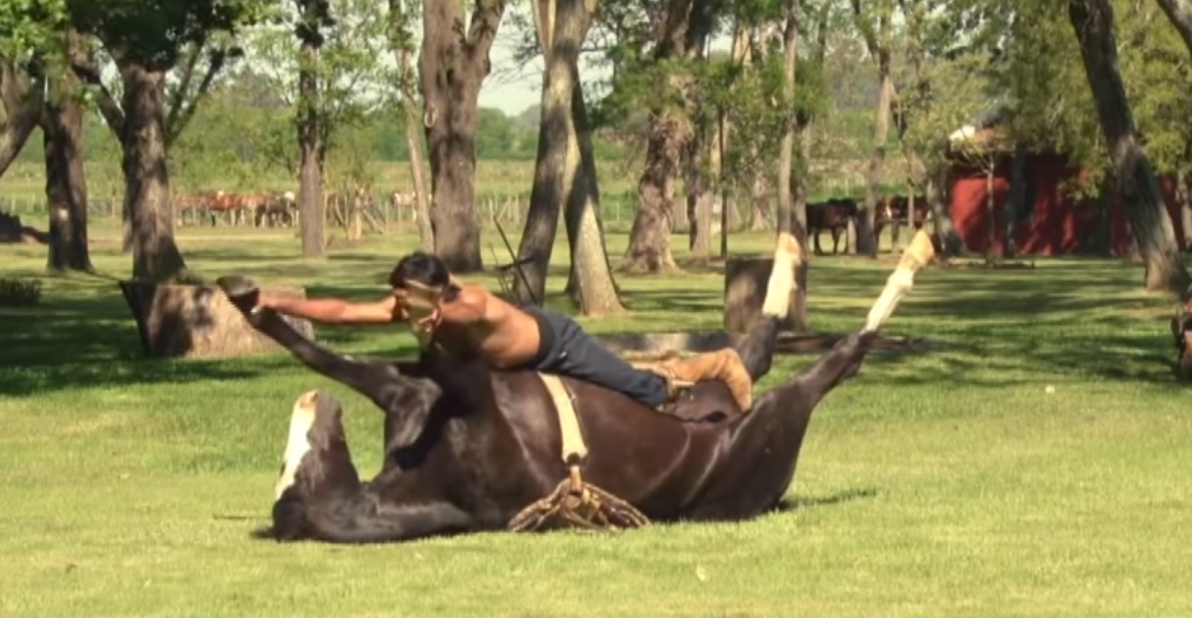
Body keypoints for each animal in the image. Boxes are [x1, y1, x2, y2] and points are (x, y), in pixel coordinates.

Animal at [214, 231, 934, 544]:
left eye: (295, 465)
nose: (310, 410)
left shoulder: (415, 387)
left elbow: (334, 355)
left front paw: (253, 302)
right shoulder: (458, 388)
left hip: (729, 398)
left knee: (751, 349)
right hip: (775, 417)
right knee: (829, 359)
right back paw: (904, 258)